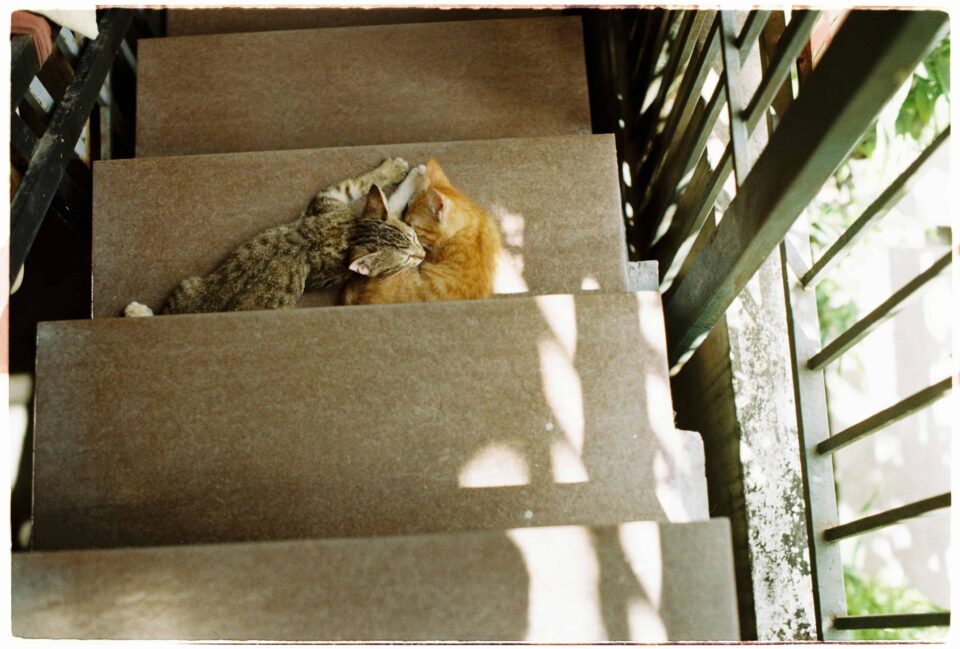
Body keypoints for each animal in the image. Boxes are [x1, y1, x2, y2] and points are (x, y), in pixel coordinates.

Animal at [125, 159, 426, 316]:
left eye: (413, 236)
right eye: (407, 258)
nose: (423, 253)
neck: (349, 234)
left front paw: (412, 176)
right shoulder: (330, 201)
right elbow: (361, 183)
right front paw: (397, 170)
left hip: (188, 285)